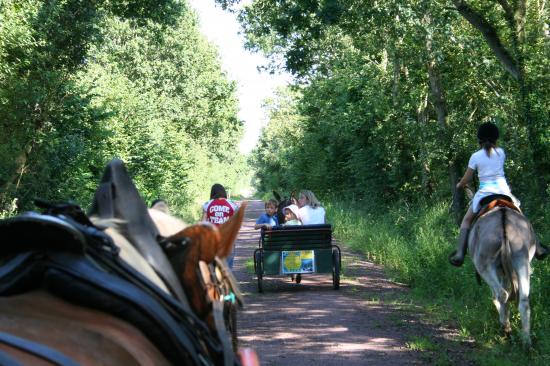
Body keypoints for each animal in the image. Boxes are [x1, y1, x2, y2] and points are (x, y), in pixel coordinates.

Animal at [470, 199, 540, 348]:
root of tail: (504, 225)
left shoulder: (497, 271)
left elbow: (496, 295)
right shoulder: (505, 272)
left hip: (485, 267)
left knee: (502, 294)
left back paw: (506, 329)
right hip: (521, 262)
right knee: (523, 300)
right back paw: (526, 342)